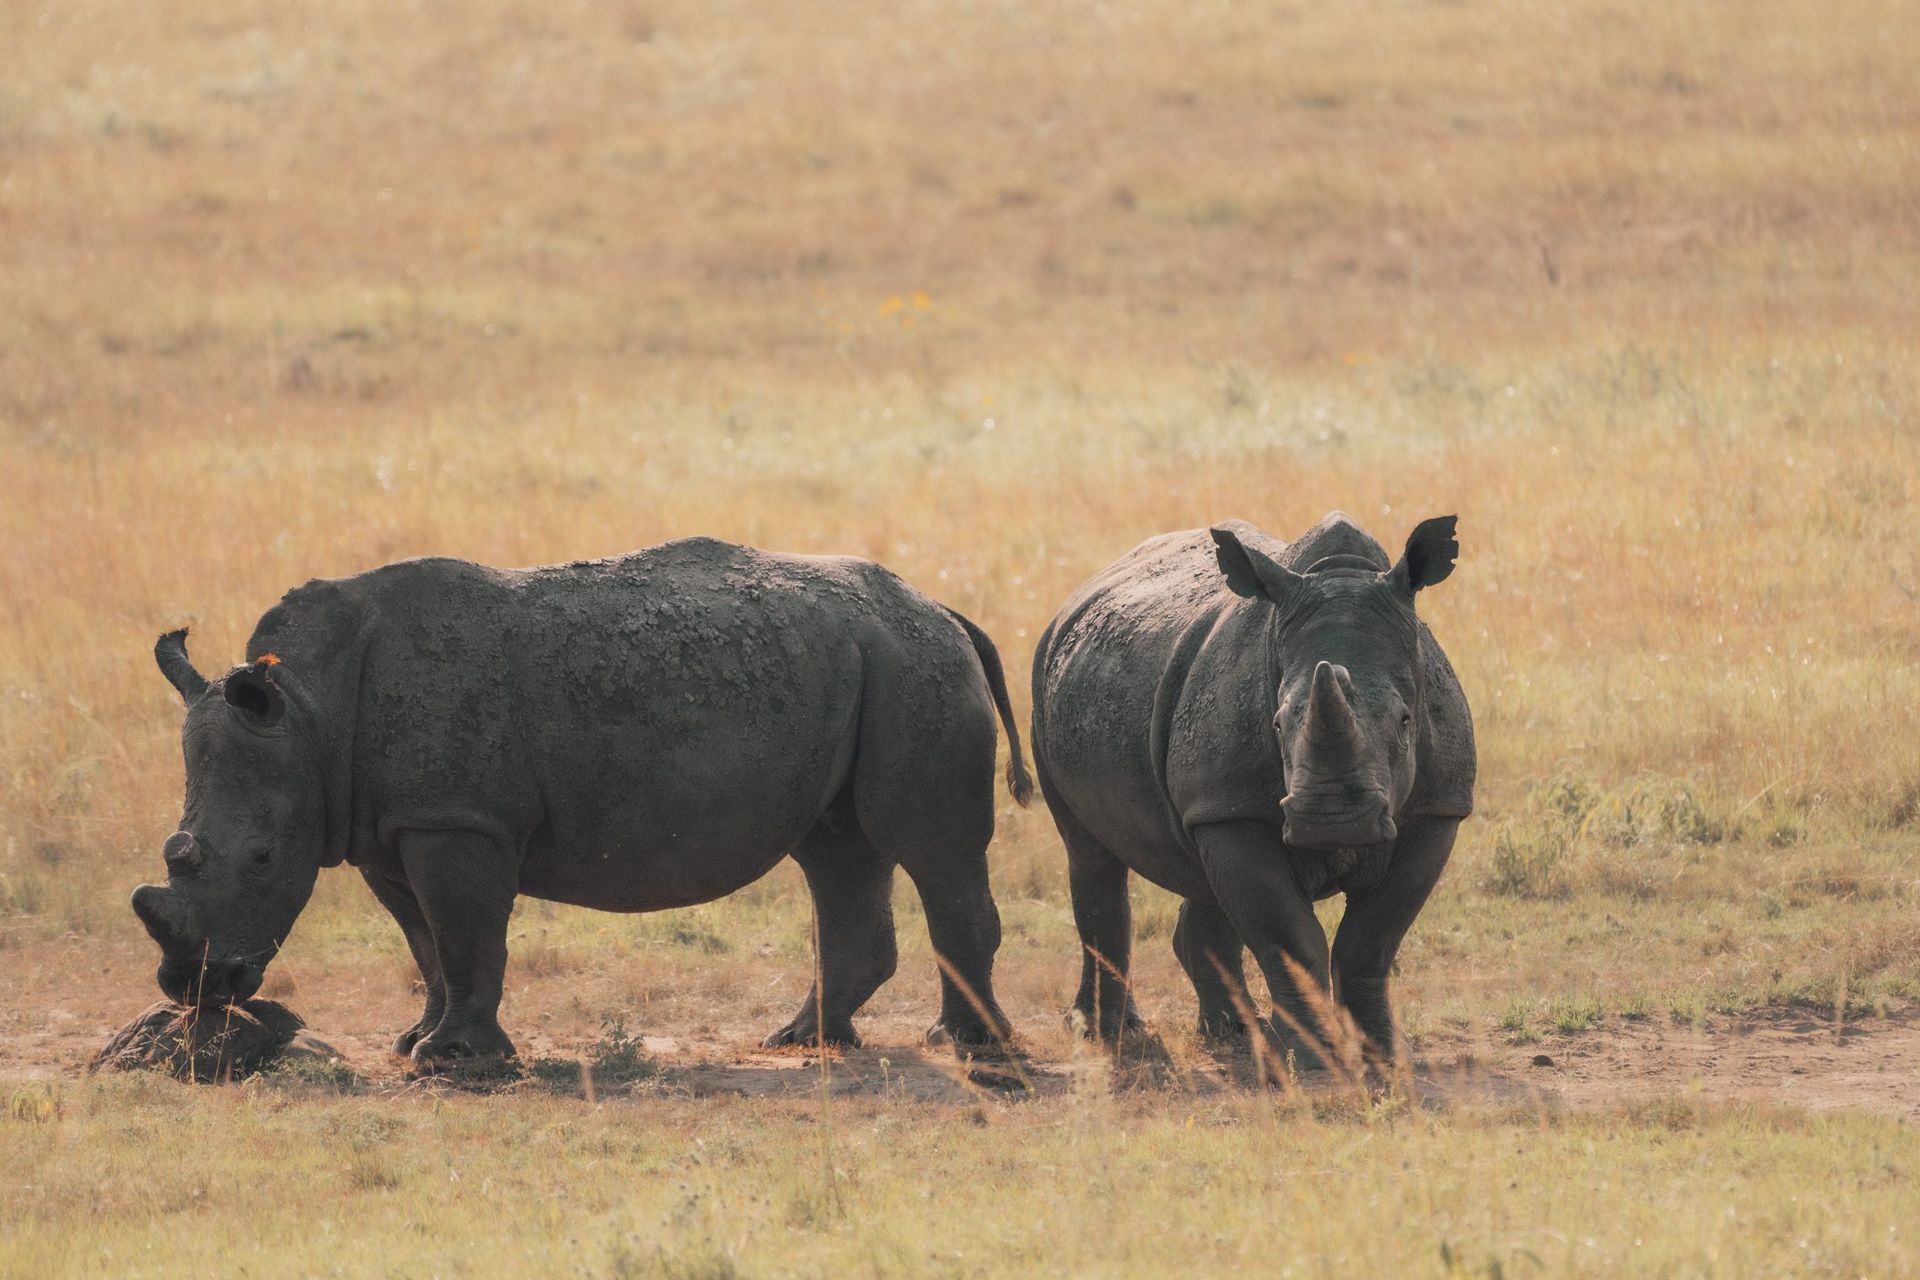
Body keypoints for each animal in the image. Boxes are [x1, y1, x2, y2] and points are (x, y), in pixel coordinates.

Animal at [134, 536, 1031, 1066]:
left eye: (260, 860)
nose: (195, 986)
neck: (309, 711)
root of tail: (941, 606)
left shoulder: (459, 819)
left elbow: (464, 935)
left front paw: (454, 1062)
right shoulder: (390, 826)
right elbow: (426, 944)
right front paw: (415, 1042)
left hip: (913, 666)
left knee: (931, 851)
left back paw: (974, 1050)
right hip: (868, 665)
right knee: (839, 849)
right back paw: (804, 1041)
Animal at [1030, 513, 1474, 1067]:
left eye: (1406, 720)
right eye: (1278, 724)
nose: (1333, 819)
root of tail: (1073, 602)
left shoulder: (1438, 808)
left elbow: (1371, 941)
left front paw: (1388, 1058)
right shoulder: (1231, 810)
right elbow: (1290, 937)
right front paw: (1309, 1062)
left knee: (1200, 871)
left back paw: (1236, 1031)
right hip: (1047, 686)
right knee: (1091, 856)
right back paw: (1105, 1033)